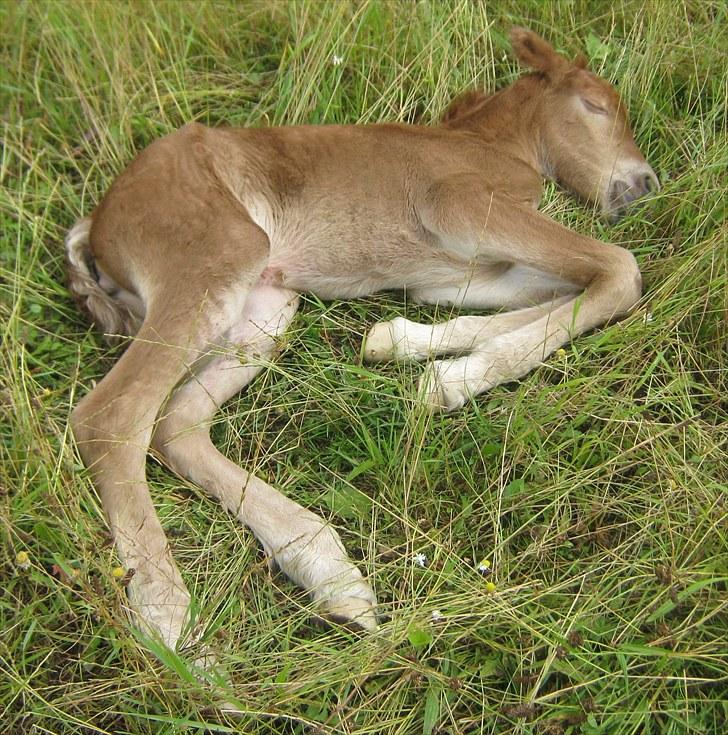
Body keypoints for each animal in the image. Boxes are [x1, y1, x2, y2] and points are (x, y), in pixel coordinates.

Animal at [67, 27, 660, 648]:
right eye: (595, 106)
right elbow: (619, 269)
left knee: (176, 423)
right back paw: (172, 621)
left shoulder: (454, 277)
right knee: (112, 414)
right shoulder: (464, 205)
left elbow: (563, 291)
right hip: (217, 256)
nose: (644, 184)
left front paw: (410, 351)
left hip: (266, 304)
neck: (493, 145)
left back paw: (327, 570)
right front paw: (451, 377)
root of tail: (99, 221)